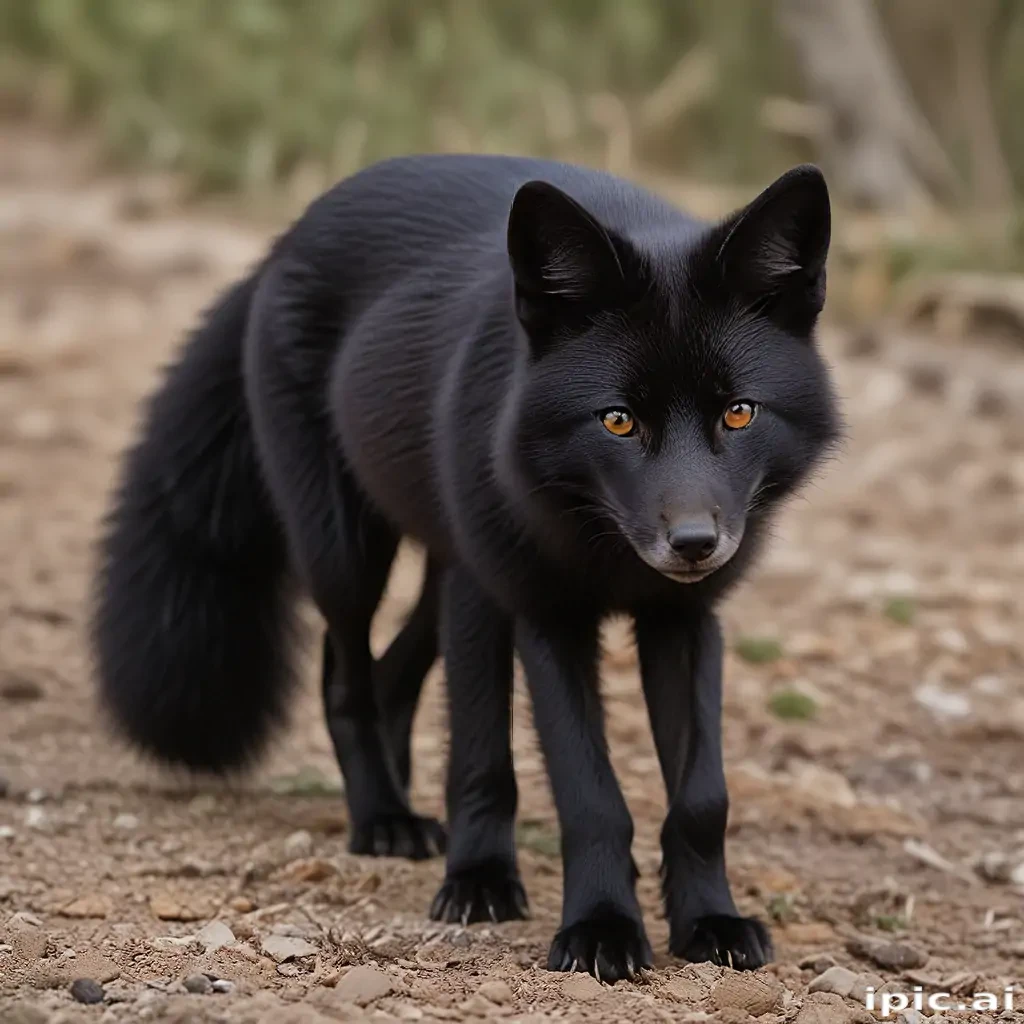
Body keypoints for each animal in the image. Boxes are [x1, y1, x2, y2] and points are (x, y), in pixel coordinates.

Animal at [91, 154, 840, 981]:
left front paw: (711, 921)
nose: (695, 542)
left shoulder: (682, 620)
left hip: (454, 574)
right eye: (617, 420)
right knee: (346, 676)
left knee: (395, 673)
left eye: (738, 412)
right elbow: (578, 792)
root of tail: (284, 240)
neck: (602, 546)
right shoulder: (544, 616)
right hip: (353, 557)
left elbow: (703, 798)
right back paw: (393, 823)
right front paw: (591, 926)